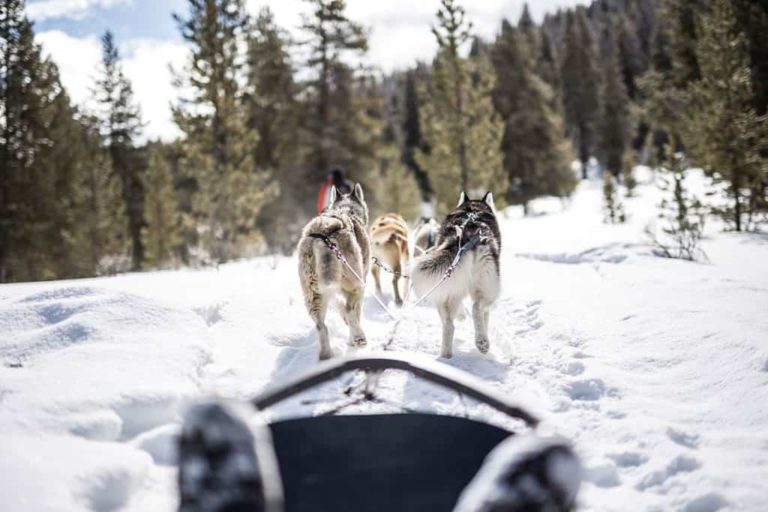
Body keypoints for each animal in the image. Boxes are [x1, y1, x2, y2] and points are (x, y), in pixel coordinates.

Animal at [296, 184, 368, 360]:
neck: (348, 210)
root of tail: (322, 235)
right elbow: (354, 311)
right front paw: (352, 340)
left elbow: (339, 305)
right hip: (356, 282)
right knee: (350, 310)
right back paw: (359, 337)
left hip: (312, 293)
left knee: (321, 325)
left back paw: (326, 355)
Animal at [412, 190, 500, 358]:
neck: (473, 208)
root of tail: (467, 234)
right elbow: (485, 316)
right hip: (488, 286)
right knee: (477, 307)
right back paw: (482, 342)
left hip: (448, 287)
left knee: (449, 325)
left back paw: (446, 356)